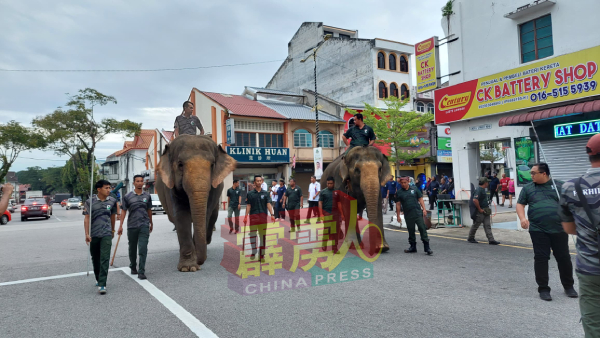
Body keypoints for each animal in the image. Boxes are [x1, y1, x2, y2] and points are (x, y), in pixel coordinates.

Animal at [156, 135, 236, 272]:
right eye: (180, 164)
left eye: (212, 165)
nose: (200, 261)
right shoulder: (171, 187)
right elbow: (181, 215)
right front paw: (188, 268)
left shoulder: (214, 188)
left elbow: (206, 213)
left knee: (213, 216)